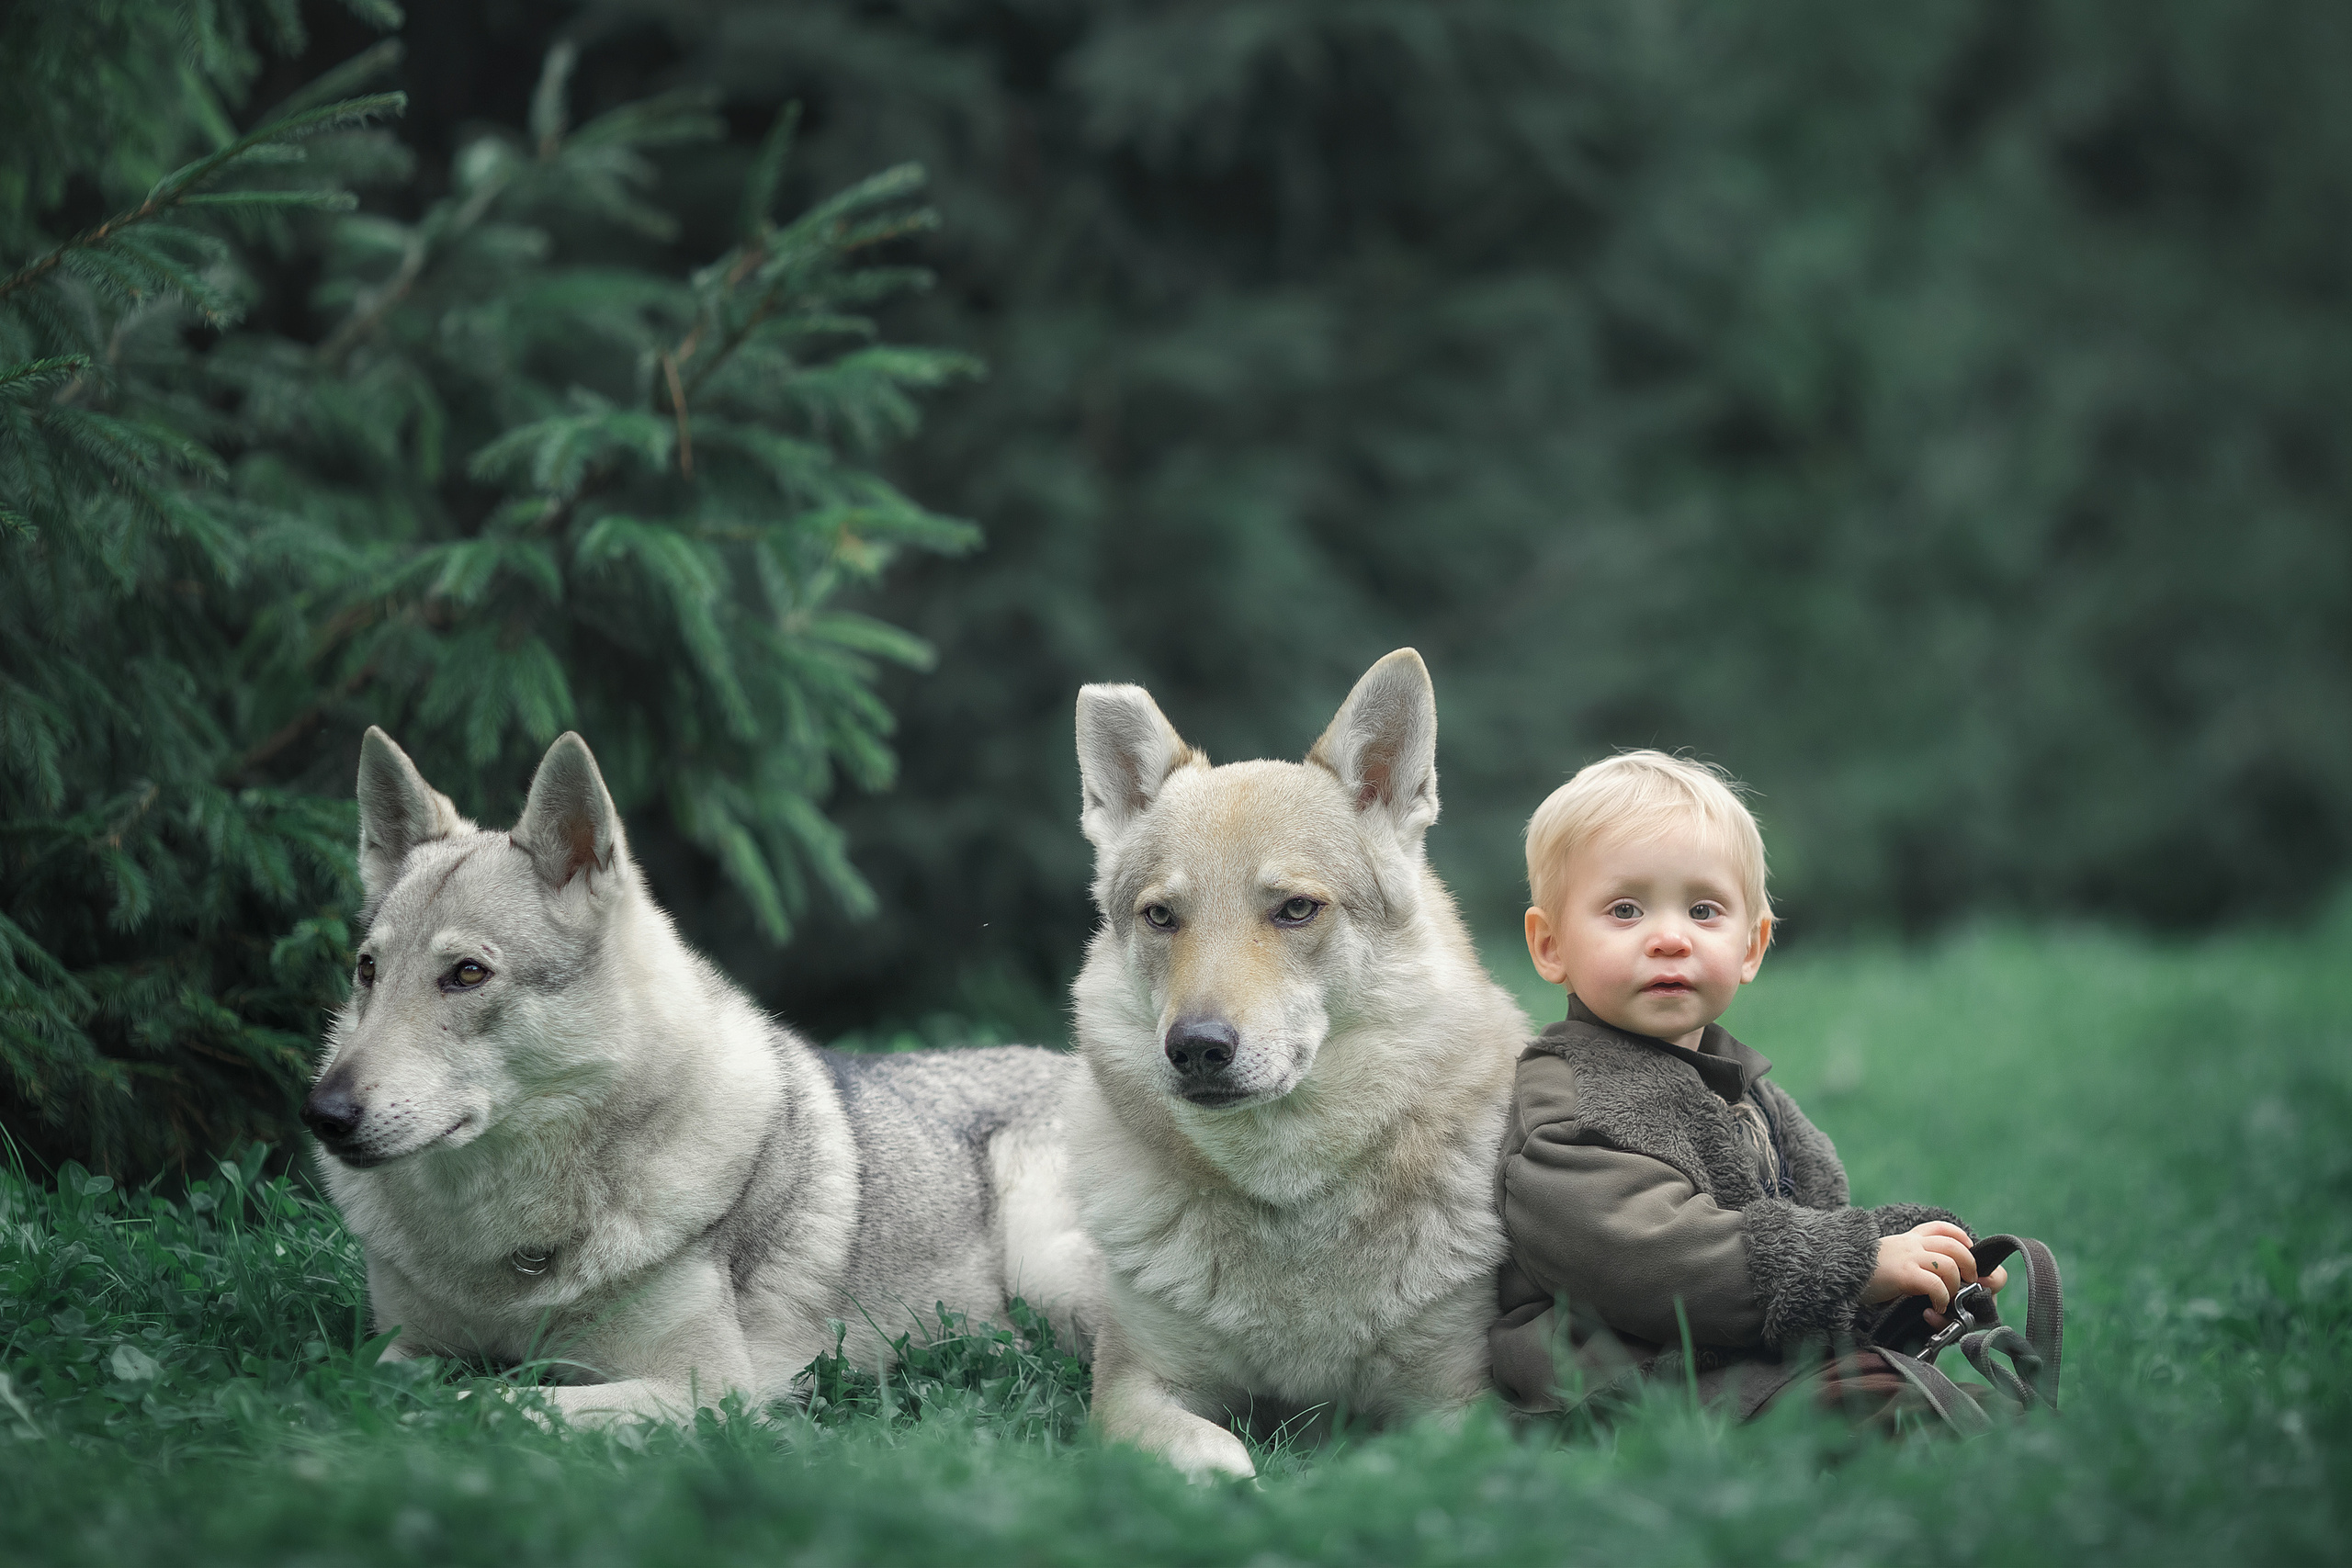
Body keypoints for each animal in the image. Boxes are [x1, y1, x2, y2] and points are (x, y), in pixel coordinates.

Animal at [302, 727, 1097, 1423]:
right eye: (367, 970)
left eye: (466, 973)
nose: (323, 1114)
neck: (511, 1256)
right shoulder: (401, 1343)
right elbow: (358, 1377)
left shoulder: (706, 1390)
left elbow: (489, 1399)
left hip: (1047, 1276)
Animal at [1065, 648, 1532, 1478]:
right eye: (1161, 916)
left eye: (1295, 909)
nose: (1196, 1047)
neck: (1290, 1195)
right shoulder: (1132, 1384)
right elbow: (1216, 1454)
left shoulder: (1464, 1402)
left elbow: (1390, 1464)